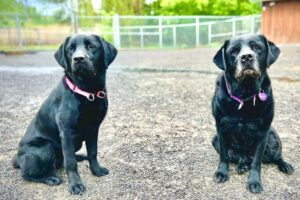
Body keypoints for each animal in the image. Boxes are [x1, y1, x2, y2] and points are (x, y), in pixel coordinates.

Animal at [211, 34, 292, 194]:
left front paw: (254, 181)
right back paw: (242, 165)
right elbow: (224, 155)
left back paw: (284, 165)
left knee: (274, 156)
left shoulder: (264, 131)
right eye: (234, 51)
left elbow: (257, 160)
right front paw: (222, 172)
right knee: (241, 157)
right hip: (215, 139)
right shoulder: (220, 127)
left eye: (256, 47)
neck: (245, 94)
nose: (246, 57)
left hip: (273, 138)